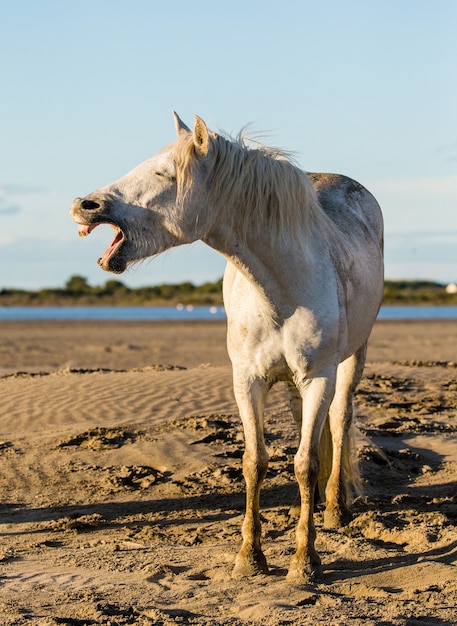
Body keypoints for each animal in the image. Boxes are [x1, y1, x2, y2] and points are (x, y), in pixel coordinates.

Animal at [69, 113, 382, 580]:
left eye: (164, 173)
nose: (83, 205)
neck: (282, 289)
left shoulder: (318, 378)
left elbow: (305, 463)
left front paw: (304, 562)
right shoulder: (247, 380)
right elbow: (256, 462)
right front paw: (250, 558)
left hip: (350, 361)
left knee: (340, 421)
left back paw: (335, 508)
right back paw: (302, 510)